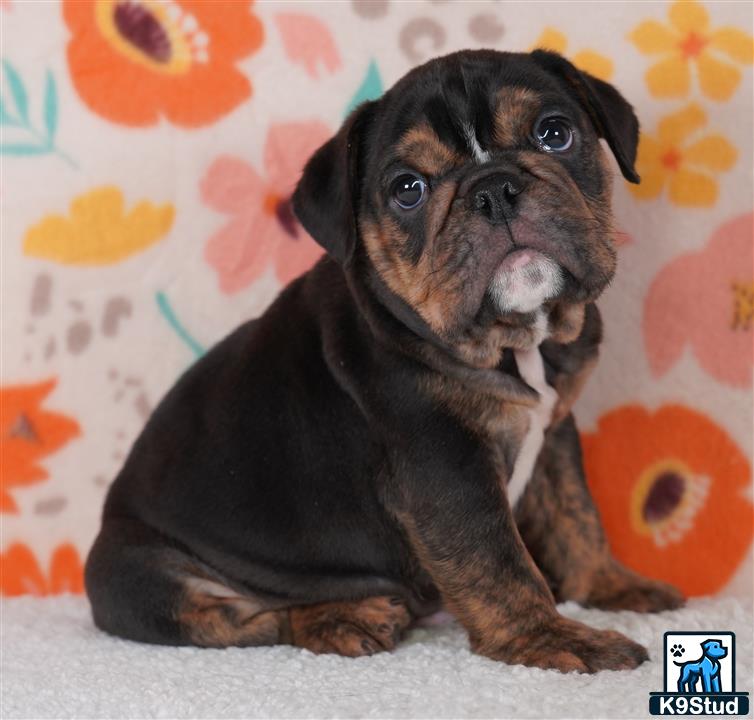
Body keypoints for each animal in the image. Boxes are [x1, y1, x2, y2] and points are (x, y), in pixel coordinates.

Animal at [86, 50, 680, 676]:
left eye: (555, 133)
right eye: (407, 190)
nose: (494, 189)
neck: (517, 343)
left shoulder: (556, 433)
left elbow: (578, 518)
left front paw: (611, 585)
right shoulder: (446, 466)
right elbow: (500, 563)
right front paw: (551, 638)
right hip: (141, 575)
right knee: (253, 617)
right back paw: (344, 616)